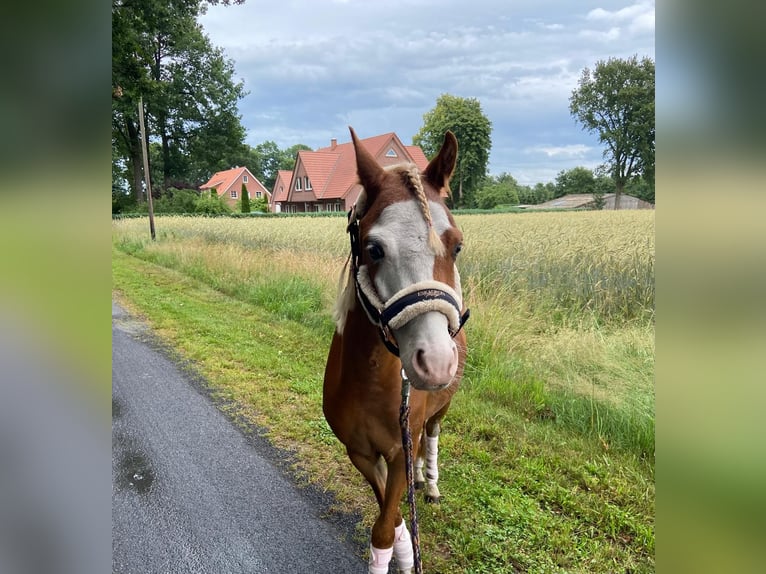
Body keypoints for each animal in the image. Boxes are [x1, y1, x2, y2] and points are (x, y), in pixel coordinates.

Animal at [322, 128, 468, 572]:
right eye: (374, 249)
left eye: (456, 246)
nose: (435, 362)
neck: (370, 383)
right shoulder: (360, 454)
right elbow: (395, 518)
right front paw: (406, 553)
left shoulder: (398, 450)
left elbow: (385, 527)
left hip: (441, 408)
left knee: (431, 435)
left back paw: (430, 483)